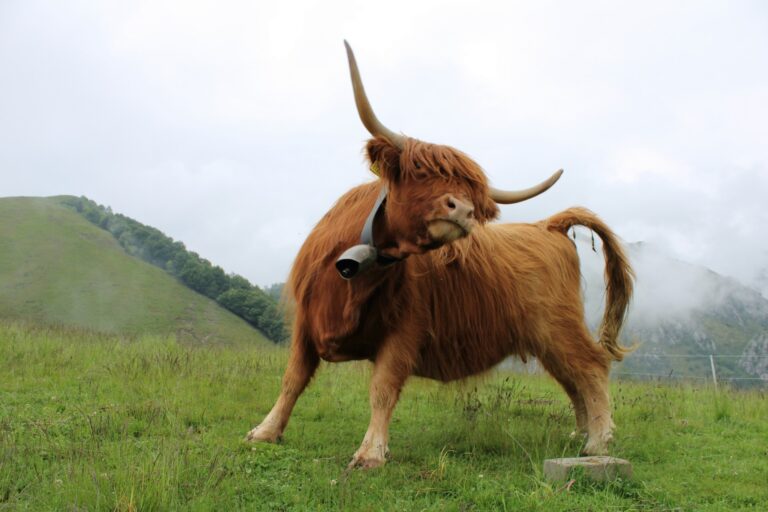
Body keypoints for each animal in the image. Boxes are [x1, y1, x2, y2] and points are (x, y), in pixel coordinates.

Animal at [246, 42, 634, 469]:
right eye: (420, 172)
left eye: (472, 194)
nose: (463, 210)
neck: (356, 275)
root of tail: (549, 224)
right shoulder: (306, 321)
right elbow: (293, 378)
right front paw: (265, 432)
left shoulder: (404, 329)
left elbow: (383, 388)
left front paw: (370, 453)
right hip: (546, 337)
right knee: (571, 379)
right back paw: (579, 436)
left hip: (558, 325)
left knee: (590, 367)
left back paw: (598, 443)